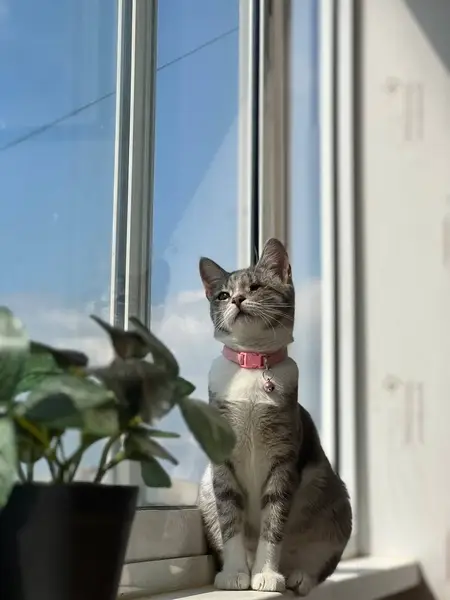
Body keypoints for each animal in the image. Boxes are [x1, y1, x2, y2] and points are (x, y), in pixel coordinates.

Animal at [197, 238, 352, 595]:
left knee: (317, 562)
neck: (253, 365)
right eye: (222, 295)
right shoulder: (222, 464)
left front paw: (266, 575)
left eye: (255, 287)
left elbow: (274, 523)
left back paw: (297, 576)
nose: (237, 298)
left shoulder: (283, 461)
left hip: (338, 504)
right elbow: (230, 520)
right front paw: (235, 574)